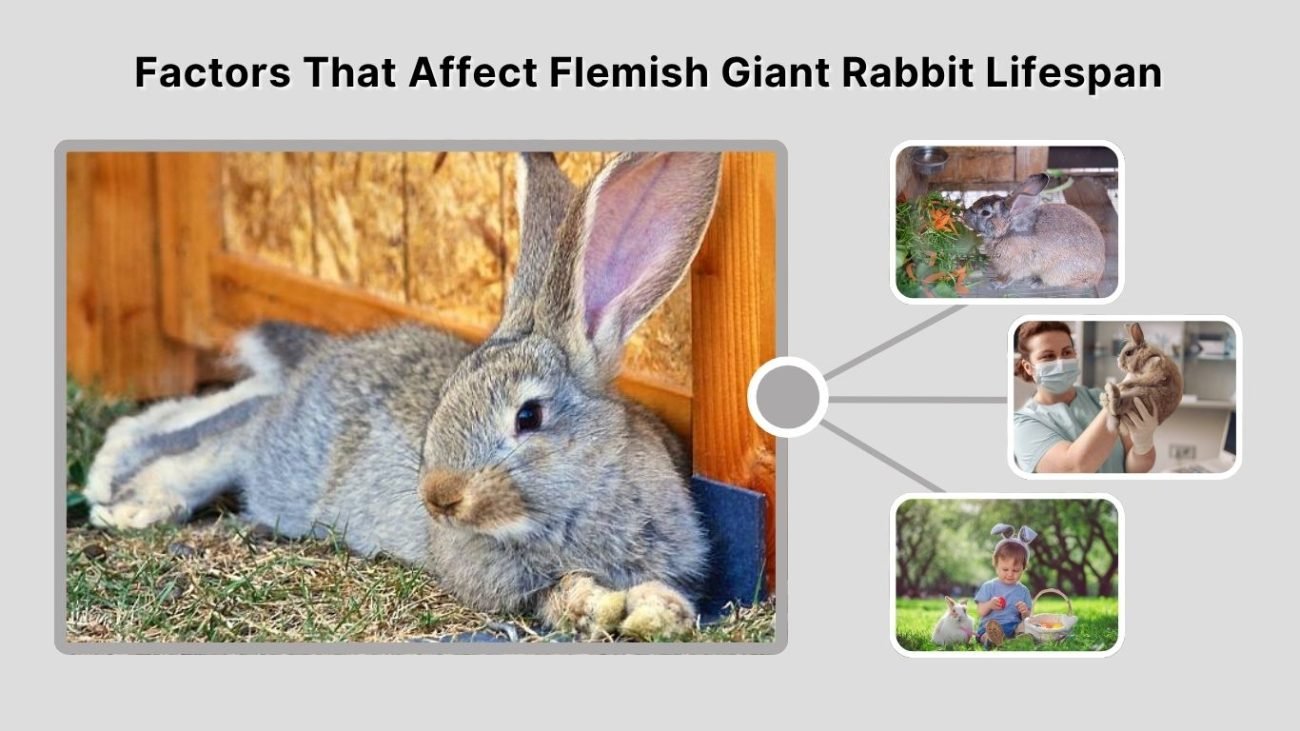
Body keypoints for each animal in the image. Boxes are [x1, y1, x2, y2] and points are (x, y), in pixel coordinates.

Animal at [82, 151, 724, 640]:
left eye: (529, 416)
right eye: (447, 400)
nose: (438, 498)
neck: (580, 496)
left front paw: (660, 612)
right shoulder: (496, 577)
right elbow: (552, 593)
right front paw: (598, 606)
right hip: (288, 462)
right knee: (231, 439)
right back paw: (132, 499)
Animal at [962, 173, 1105, 290]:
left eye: (985, 212)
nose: (964, 215)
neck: (1007, 229)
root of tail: (1096, 276)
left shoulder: (1018, 265)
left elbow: (1012, 276)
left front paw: (998, 283)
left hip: (1057, 272)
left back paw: (1036, 282)